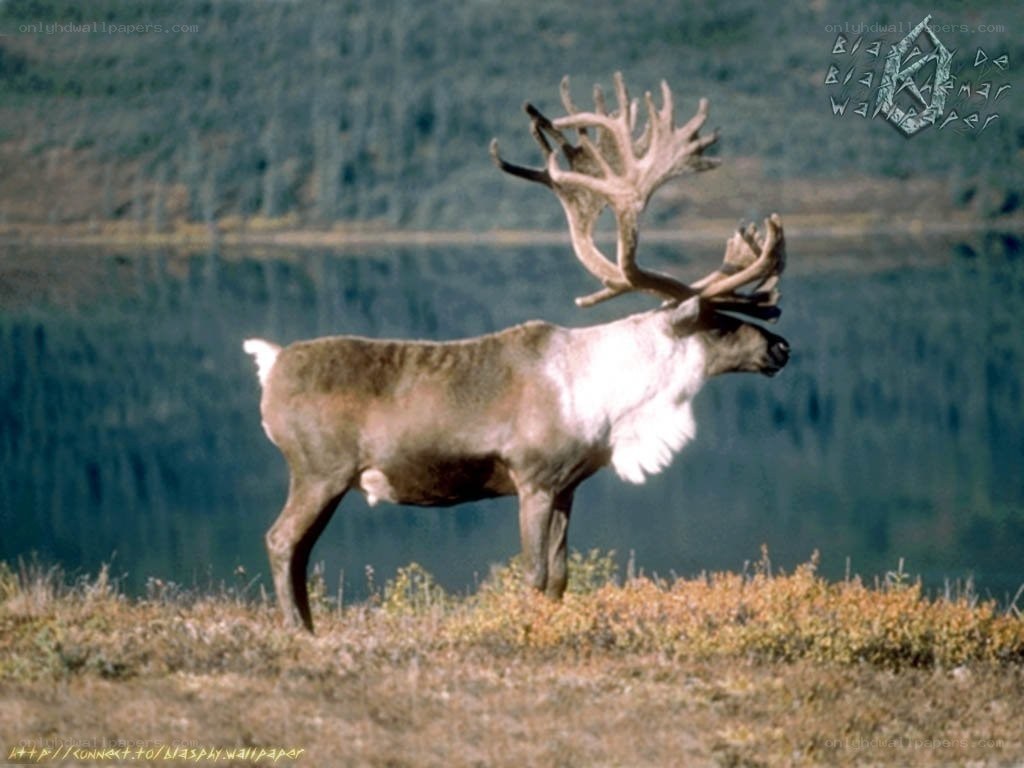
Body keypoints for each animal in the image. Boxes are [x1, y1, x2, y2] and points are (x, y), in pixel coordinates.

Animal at [244, 73, 789, 631]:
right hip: (319, 470)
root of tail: (273, 360)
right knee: (282, 541)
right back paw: (300, 632)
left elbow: (559, 578)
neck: (613, 396)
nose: (781, 347)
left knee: (298, 549)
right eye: (716, 322)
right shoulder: (533, 480)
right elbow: (534, 575)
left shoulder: (568, 486)